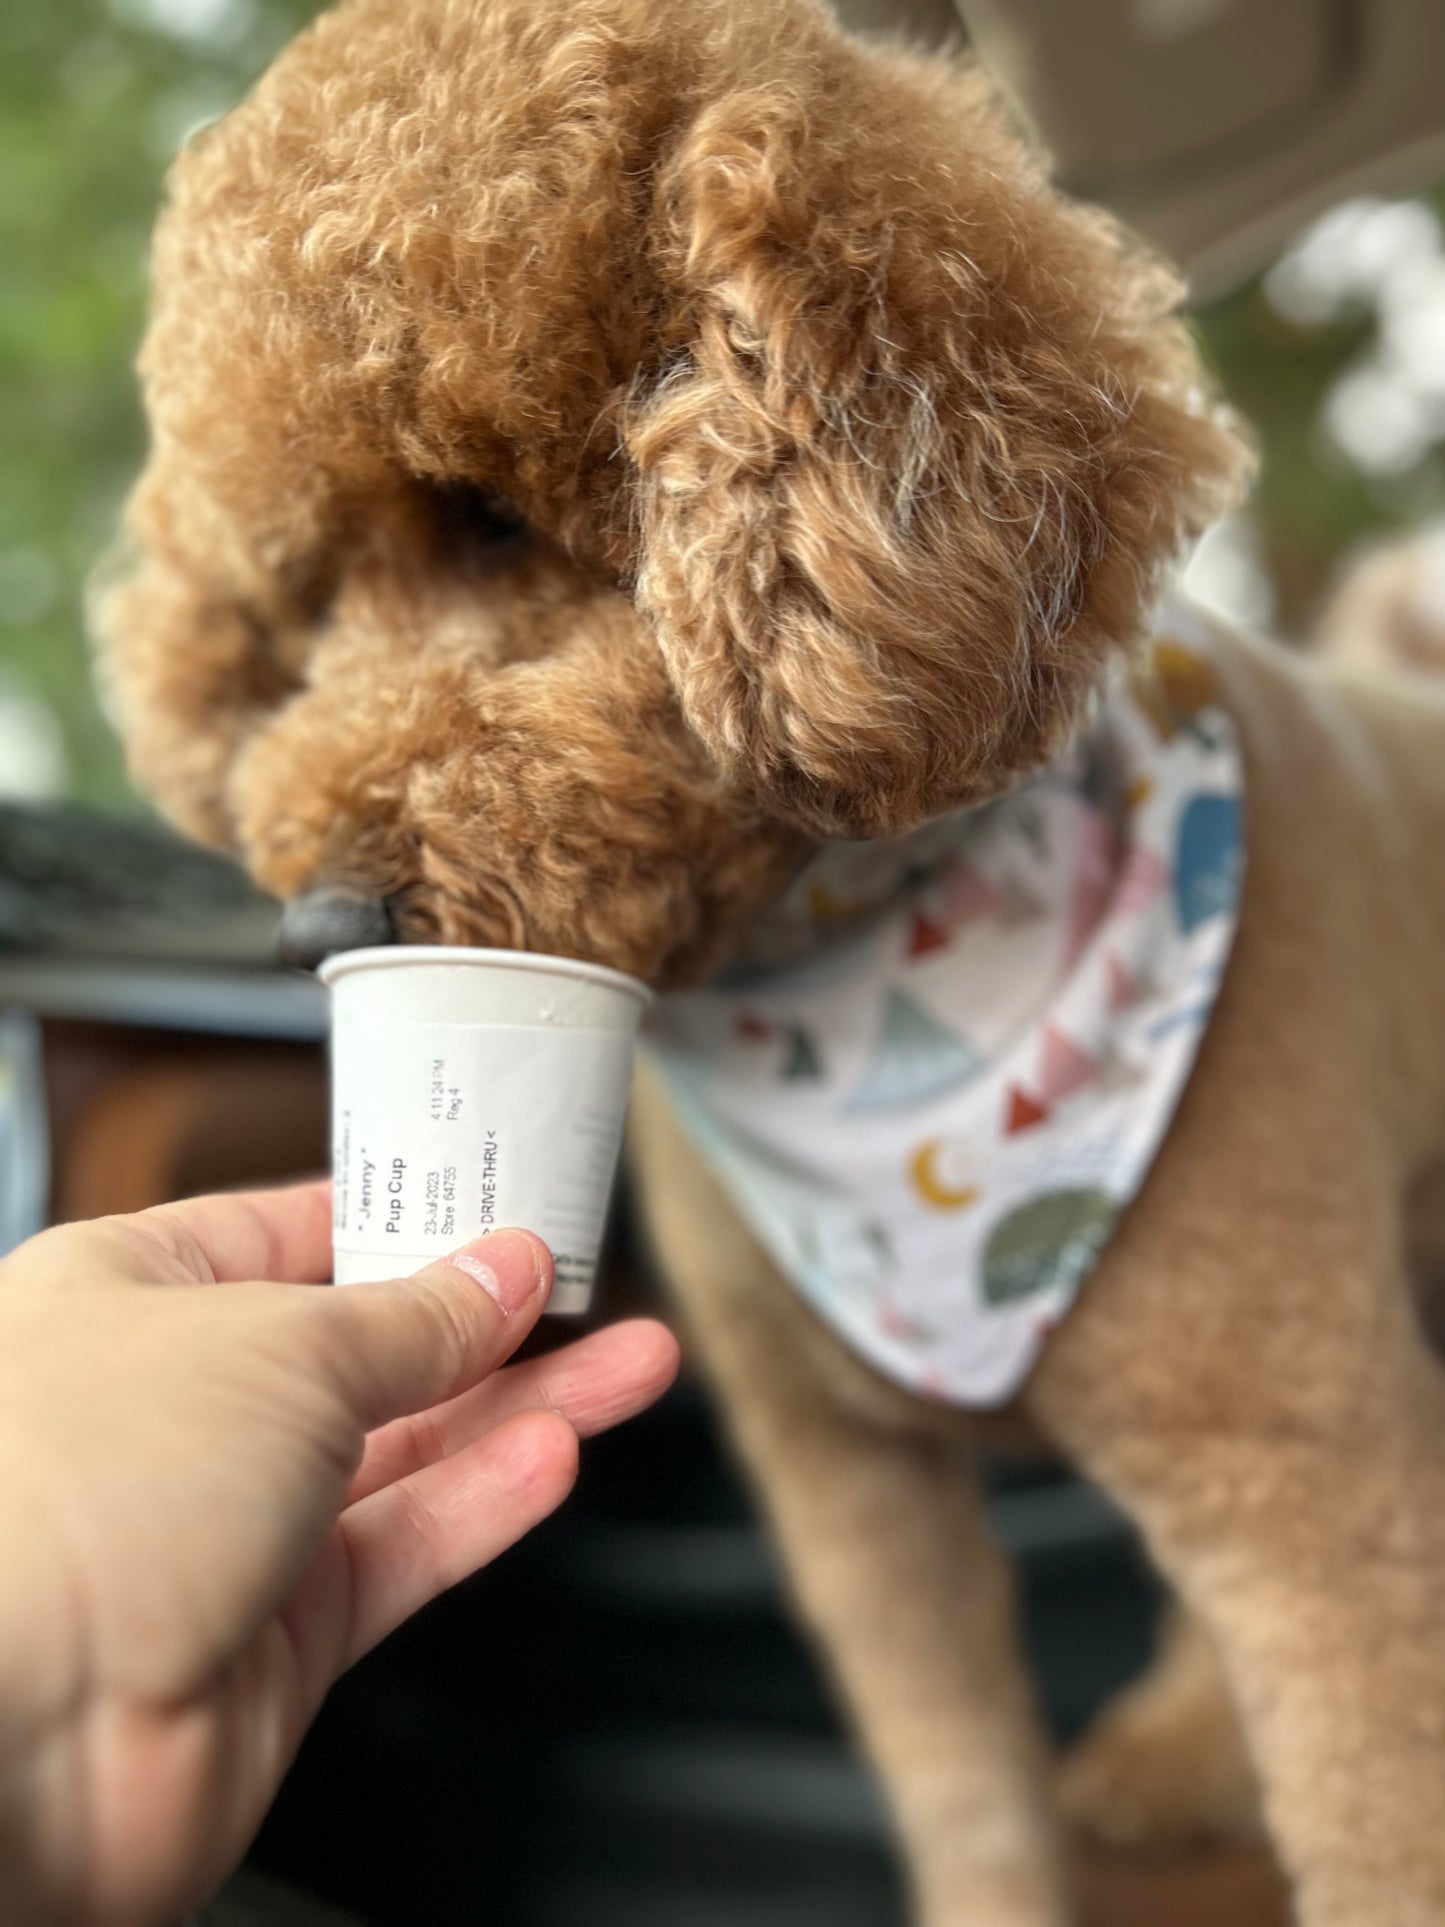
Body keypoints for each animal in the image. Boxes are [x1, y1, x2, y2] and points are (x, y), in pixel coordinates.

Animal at [99, 3, 1445, 1927]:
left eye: (482, 518)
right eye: (296, 612)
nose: (314, 926)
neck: (842, 971)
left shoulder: (1308, 1484)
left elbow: (1376, 1804)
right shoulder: (853, 1500)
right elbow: (965, 1806)